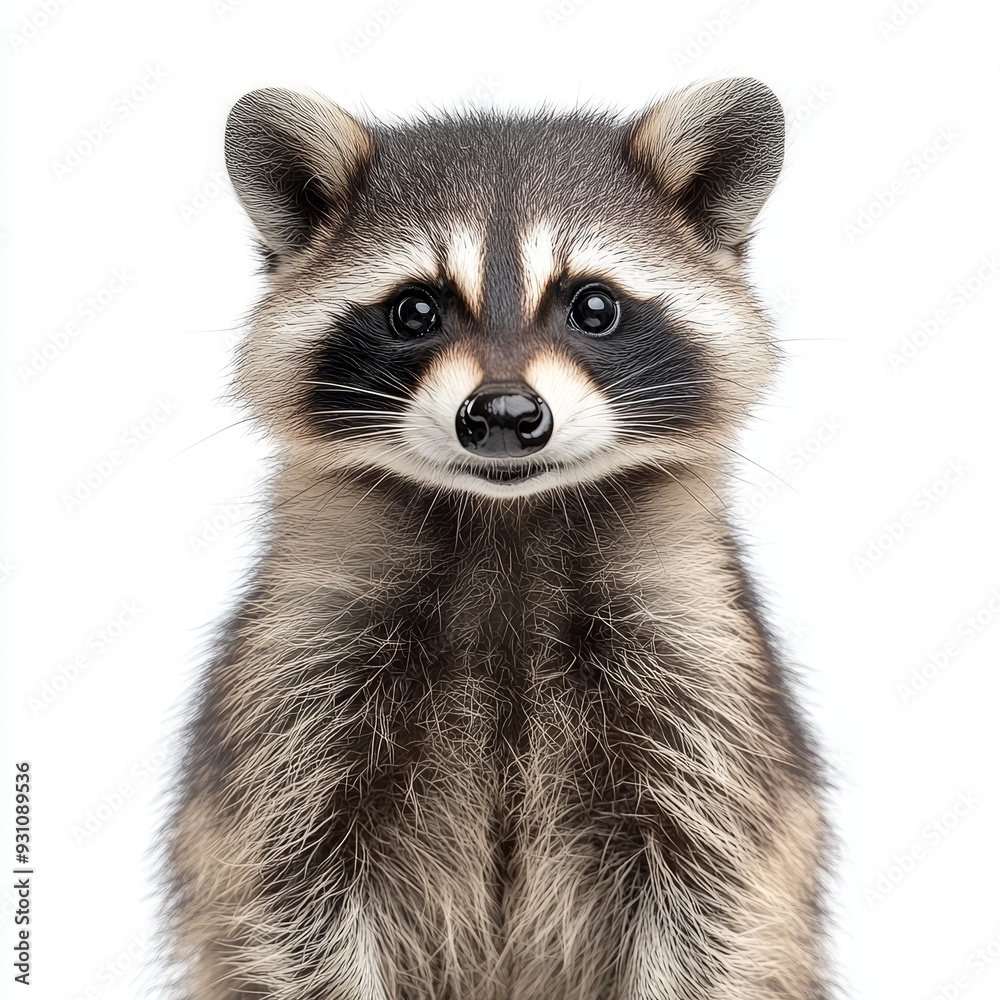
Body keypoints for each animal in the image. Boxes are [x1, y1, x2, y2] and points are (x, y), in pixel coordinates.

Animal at [165, 78, 832, 1000]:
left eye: (593, 305)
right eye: (416, 309)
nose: (507, 414)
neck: (506, 522)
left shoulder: (702, 681)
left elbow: (711, 898)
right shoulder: (298, 687)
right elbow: (294, 896)